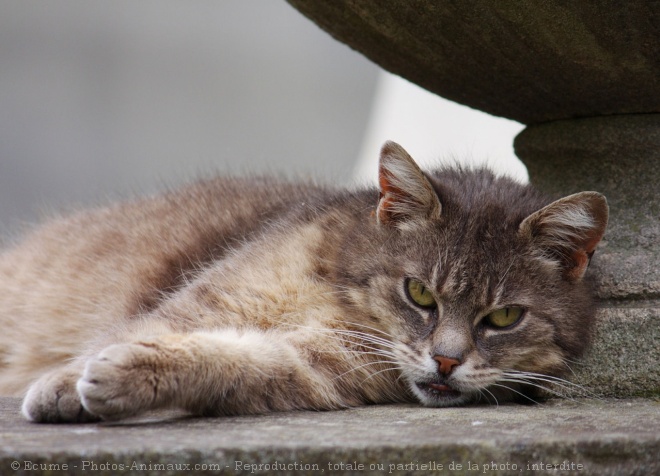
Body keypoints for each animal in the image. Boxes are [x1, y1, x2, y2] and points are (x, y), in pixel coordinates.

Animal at [0, 142, 608, 424]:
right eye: (419, 293)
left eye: (504, 317)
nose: (446, 362)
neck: (337, 297)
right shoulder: (213, 297)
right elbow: (155, 325)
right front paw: (65, 383)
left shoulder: (312, 368)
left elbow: (231, 363)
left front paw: (131, 376)